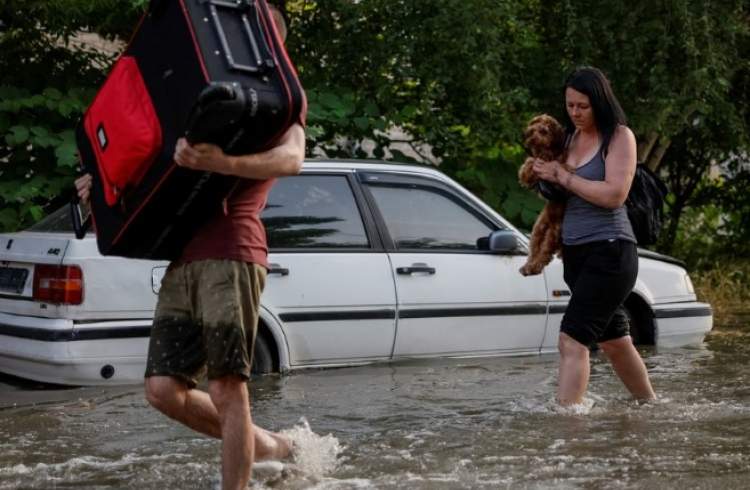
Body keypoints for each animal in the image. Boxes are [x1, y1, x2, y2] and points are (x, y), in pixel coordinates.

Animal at [520, 113, 572, 278]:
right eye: (533, 124)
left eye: (543, 130)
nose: (529, 132)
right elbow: (530, 163)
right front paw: (528, 170)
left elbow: (561, 166)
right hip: (538, 229)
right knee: (535, 250)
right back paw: (528, 267)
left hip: (554, 233)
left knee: (545, 254)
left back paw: (533, 267)